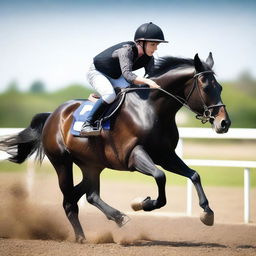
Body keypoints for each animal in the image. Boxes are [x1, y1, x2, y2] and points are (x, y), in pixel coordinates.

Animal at [0, 52, 230, 244]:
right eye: (206, 87)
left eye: (220, 87)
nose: (224, 123)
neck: (151, 108)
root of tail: (53, 115)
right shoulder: (134, 155)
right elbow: (160, 176)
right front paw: (142, 203)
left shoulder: (165, 155)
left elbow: (194, 175)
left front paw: (207, 213)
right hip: (62, 162)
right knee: (70, 200)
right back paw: (88, 234)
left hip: (92, 164)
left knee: (86, 195)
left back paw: (114, 219)